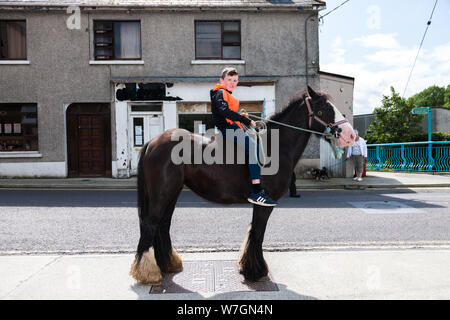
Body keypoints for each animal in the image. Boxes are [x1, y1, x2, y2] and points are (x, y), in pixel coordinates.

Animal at [130, 86, 356, 284]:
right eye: (323, 109)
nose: (351, 135)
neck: (276, 146)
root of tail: (152, 142)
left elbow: (254, 232)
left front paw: (249, 267)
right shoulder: (265, 203)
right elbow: (257, 233)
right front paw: (256, 271)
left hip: (172, 193)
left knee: (162, 225)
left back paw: (167, 264)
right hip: (162, 193)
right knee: (151, 224)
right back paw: (147, 272)